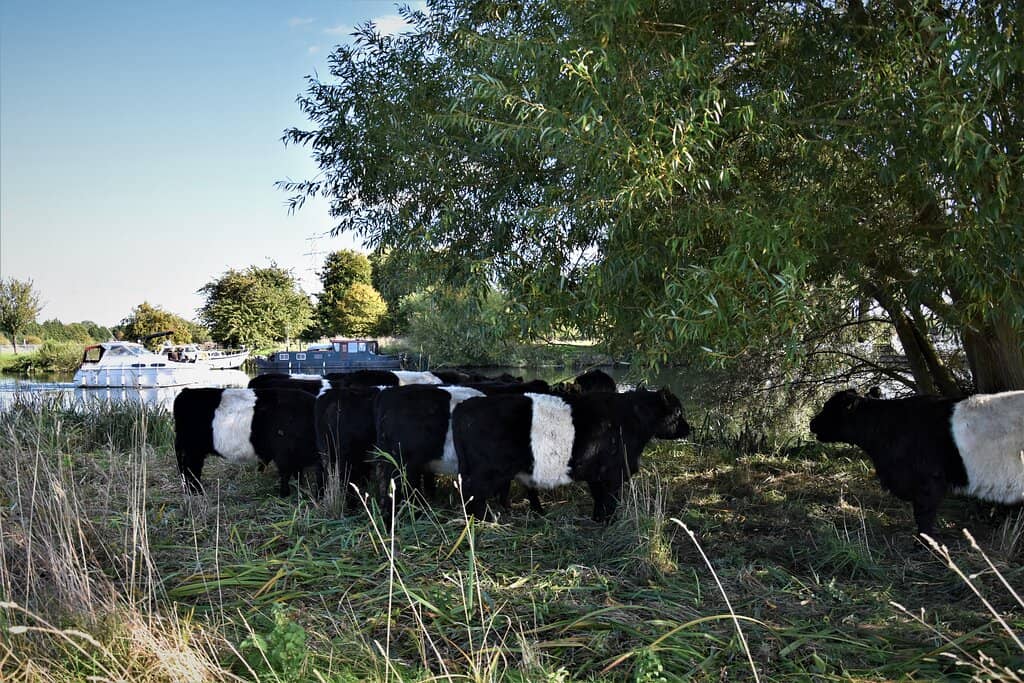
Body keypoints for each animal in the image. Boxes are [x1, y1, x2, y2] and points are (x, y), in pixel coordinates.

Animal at [173, 387, 322, 497]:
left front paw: (300, 489)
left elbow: (297, 474)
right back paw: (195, 492)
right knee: (190, 470)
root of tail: (186, 391)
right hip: (190, 451)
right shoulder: (284, 455)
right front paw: (284, 495)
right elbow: (286, 474)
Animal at [452, 387, 691, 522]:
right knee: (473, 494)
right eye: (678, 411)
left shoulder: (597, 475)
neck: (632, 418)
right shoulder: (614, 473)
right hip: (487, 472)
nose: (689, 429)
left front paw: (597, 520)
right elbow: (610, 501)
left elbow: (599, 499)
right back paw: (486, 521)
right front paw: (610, 522)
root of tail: (465, 405)